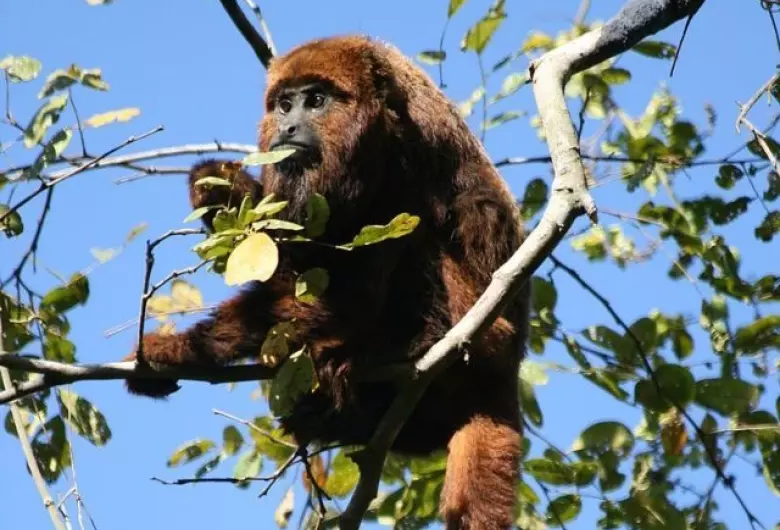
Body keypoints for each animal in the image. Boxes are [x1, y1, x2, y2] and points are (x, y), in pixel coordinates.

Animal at [126, 35, 532, 524]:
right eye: (284, 105)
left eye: (315, 101)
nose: (287, 127)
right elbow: (292, 262)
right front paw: (215, 187)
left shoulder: (408, 155)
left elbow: (352, 287)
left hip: (487, 340)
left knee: (452, 228)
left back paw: (403, 348)